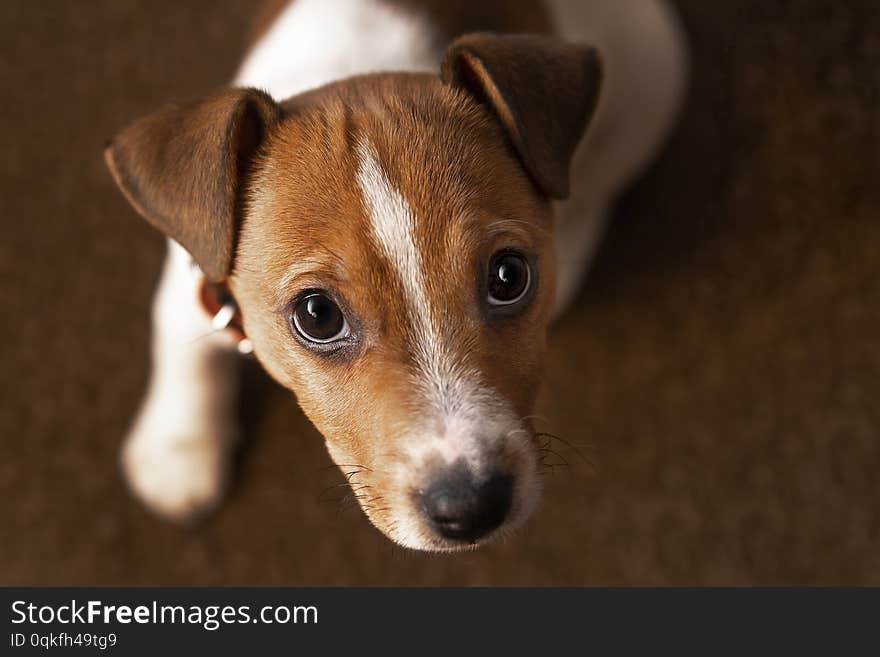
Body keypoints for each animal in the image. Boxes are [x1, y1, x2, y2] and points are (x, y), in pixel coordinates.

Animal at [105, 0, 688, 552]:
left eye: (509, 276)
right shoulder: (193, 279)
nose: (471, 508)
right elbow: (183, 351)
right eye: (318, 315)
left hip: (651, 74)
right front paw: (178, 452)